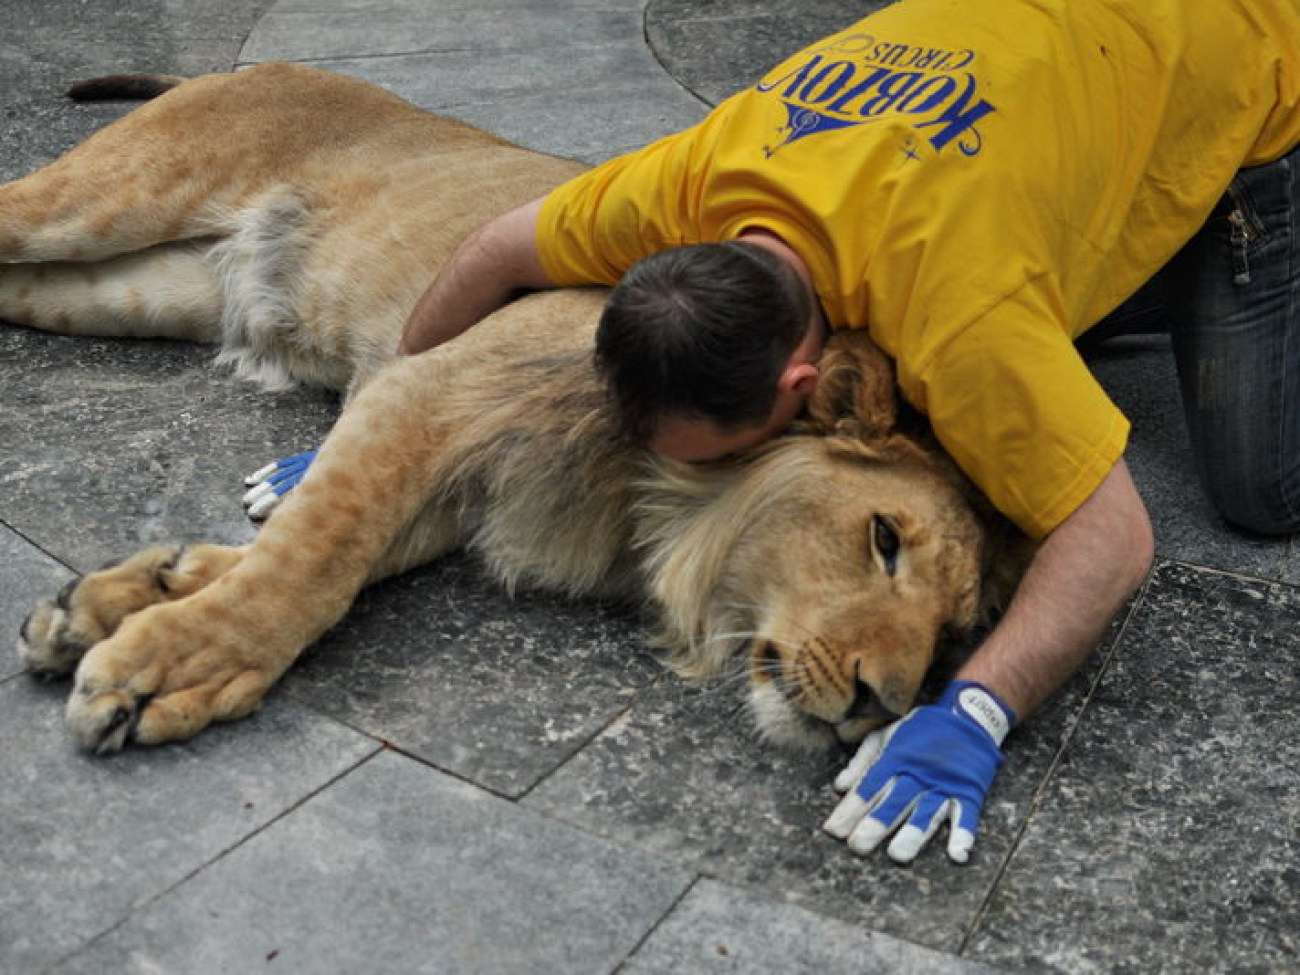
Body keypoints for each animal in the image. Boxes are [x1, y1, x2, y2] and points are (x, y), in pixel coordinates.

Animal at [2, 63, 1013, 754]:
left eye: (952, 637)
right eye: (883, 539)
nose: (881, 704)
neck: (659, 507)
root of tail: (260, 64)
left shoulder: (462, 494)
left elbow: (305, 547)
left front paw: (117, 599)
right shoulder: (427, 392)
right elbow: (315, 559)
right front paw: (173, 664)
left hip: (132, 291)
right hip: (100, 203)